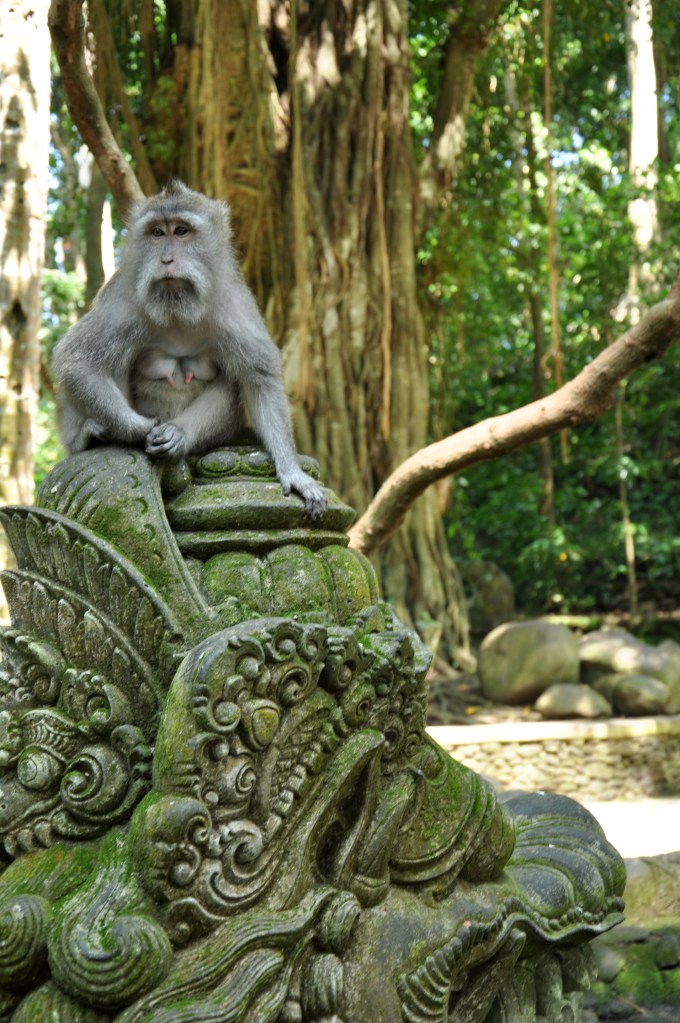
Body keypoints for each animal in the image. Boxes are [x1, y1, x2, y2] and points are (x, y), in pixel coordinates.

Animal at [52, 181, 327, 518]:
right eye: (157, 233)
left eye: (181, 231)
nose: (166, 260)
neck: (177, 307)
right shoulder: (123, 302)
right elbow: (76, 362)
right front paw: (138, 428)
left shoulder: (234, 305)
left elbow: (258, 379)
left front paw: (291, 470)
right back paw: (87, 437)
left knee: (233, 382)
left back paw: (179, 436)